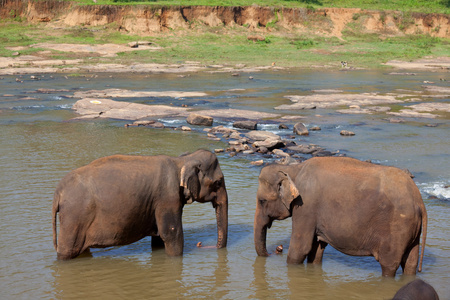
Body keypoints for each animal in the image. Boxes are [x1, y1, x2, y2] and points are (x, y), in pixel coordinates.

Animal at [53, 149, 229, 258]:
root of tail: (58, 193)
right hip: (74, 217)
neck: (181, 160)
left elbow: (158, 237)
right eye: (218, 182)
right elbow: (171, 233)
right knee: (67, 251)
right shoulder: (167, 197)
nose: (201, 244)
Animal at [255, 157, 428, 276]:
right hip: (412, 231)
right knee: (410, 263)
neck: (293, 169)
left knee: (389, 264)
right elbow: (316, 251)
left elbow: (300, 249)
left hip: (398, 228)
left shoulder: (306, 207)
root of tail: (419, 200)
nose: (276, 250)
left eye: (262, 201)